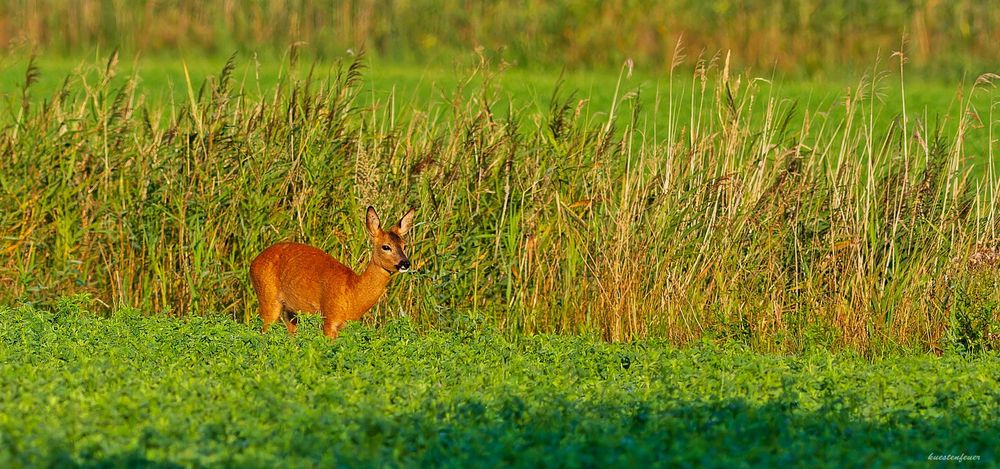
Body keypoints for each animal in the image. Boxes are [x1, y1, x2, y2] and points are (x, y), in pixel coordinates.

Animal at [254, 207, 418, 338]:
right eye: (386, 246)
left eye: (404, 245)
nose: (405, 263)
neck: (352, 292)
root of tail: (253, 262)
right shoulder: (329, 318)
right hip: (268, 299)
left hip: (291, 311)